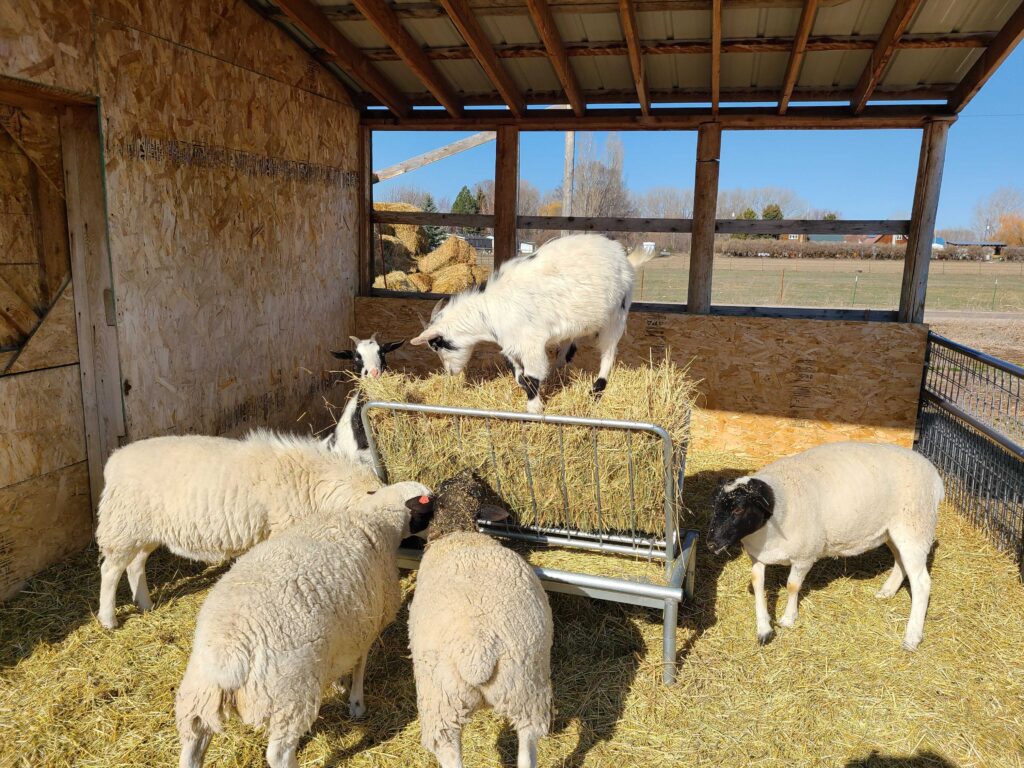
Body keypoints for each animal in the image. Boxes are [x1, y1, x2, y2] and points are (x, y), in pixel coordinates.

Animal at [96, 430, 382, 626]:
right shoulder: (282, 529)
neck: (309, 480)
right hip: (123, 525)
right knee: (110, 571)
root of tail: (113, 461)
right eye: (372, 492)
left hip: (144, 529)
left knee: (135, 565)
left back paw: (145, 604)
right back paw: (108, 619)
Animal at [176, 481, 432, 768]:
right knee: (279, 752)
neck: (374, 519)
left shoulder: (347, 631)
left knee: (193, 742)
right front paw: (356, 702)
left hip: (197, 696)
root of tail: (229, 658)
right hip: (290, 696)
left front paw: (339, 684)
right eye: (430, 506)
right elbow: (359, 664)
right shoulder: (364, 625)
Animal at [407, 233, 655, 415]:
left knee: (609, 352)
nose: (450, 372)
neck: (491, 309)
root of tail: (625, 259)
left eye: (437, 344)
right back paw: (559, 368)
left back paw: (596, 390)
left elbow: (532, 377)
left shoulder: (530, 344)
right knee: (570, 343)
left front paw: (534, 410)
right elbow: (519, 375)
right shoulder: (511, 344)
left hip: (617, 314)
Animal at [407, 468, 552, 768]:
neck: (458, 529)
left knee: (450, 753)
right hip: (524, 693)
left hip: (441, 704)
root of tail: (478, 650)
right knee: (527, 748)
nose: (470, 471)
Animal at [708, 442, 937, 651]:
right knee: (901, 561)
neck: (781, 503)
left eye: (738, 509)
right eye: (714, 506)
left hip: (915, 527)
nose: (711, 544)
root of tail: (933, 472)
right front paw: (764, 630)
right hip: (892, 531)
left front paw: (788, 619)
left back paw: (912, 638)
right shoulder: (758, 556)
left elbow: (792, 586)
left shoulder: (804, 556)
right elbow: (758, 584)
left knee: (922, 583)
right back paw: (887, 591)